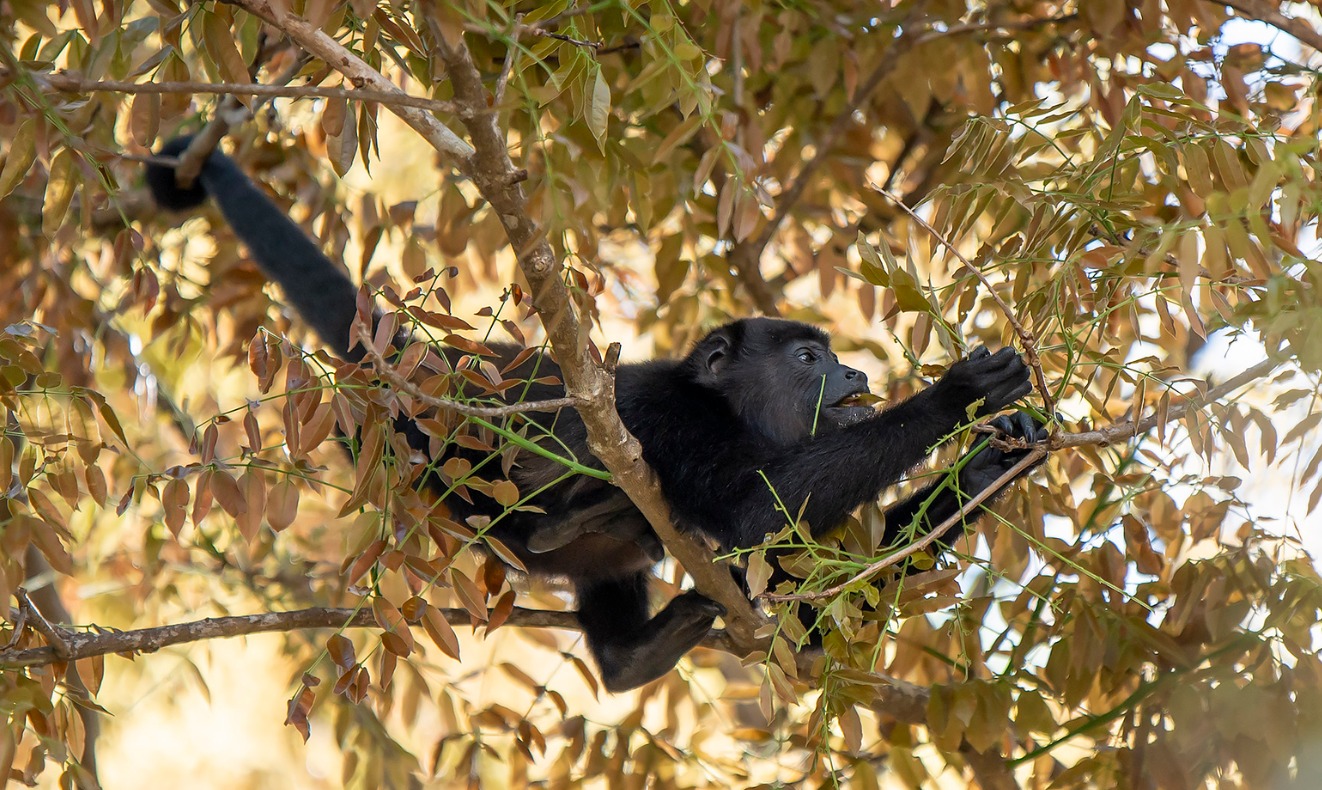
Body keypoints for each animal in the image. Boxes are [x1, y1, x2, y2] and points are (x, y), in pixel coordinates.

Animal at [145, 137, 1046, 692]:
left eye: (833, 357)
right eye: (806, 359)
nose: (854, 370)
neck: (730, 412)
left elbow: (813, 617)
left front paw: (994, 460)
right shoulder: (668, 415)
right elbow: (749, 509)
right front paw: (958, 396)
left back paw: (632, 649)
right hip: (403, 438)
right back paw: (568, 516)